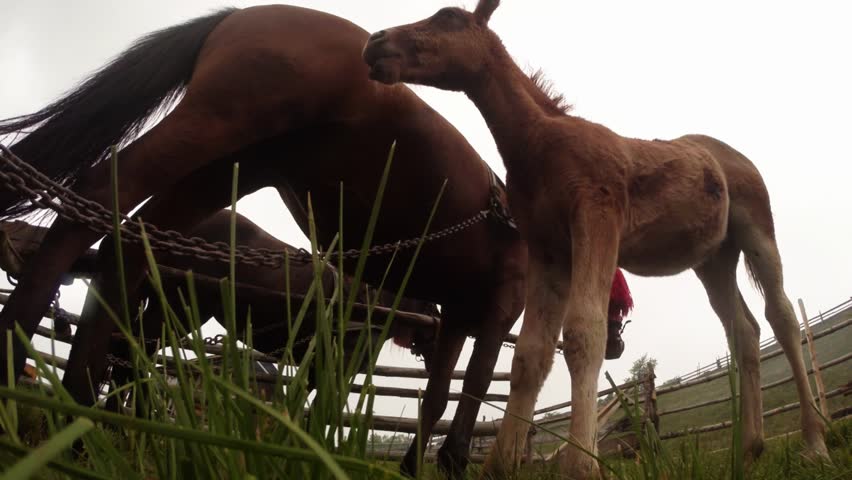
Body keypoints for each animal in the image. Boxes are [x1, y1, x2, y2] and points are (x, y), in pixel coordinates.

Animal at [0, 5, 527, 477]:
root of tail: (240, 14)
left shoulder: (456, 316)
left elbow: (432, 399)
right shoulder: (493, 312)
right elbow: (468, 390)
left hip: (228, 170)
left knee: (128, 252)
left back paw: (81, 424)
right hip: (215, 129)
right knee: (95, 199)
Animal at [362, 1, 828, 478]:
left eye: (449, 17)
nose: (376, 42)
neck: (539, 143)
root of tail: (735, 157)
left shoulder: (597, 218)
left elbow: (584, 334)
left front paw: (582, 467)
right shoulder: (548, 249)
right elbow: (530, 353)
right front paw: (498, 466)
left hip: (757, 230)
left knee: (781, 317)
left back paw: (814, 444)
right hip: (712, 259)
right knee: (744, 330)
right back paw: (749, 451)